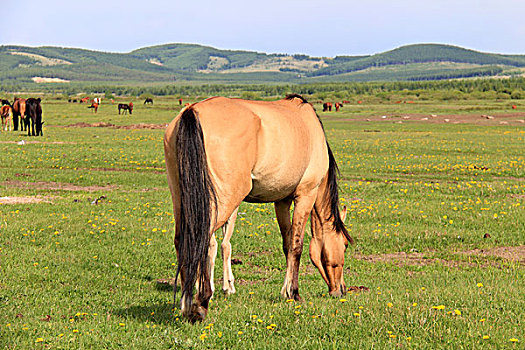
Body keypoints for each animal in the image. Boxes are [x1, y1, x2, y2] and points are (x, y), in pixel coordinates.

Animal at [164, 93, 352, 322]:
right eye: (345, 245)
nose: (340, 290)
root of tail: (192, 110)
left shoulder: (282, 201)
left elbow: (287, 244)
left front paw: (285, 290)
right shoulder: (306, 195)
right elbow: (297, 245)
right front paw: (294, 292)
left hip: (180, 197)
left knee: (182, 240)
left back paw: (186, 303)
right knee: (203, 240)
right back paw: (200, 303)